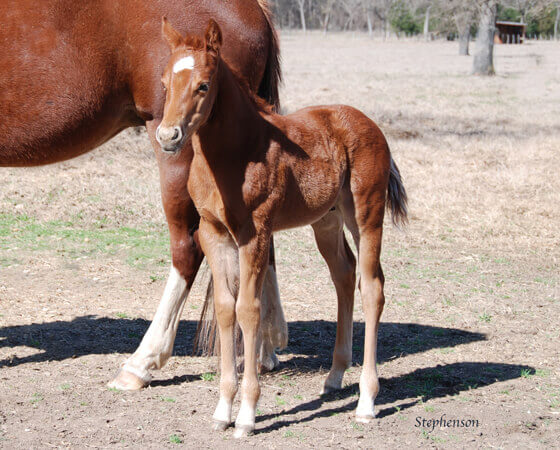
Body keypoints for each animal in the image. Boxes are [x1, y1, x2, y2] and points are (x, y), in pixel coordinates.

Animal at [160, 19, 410, 434]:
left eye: (203, 85)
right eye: (164, 81)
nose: (167, 136)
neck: (236, 153)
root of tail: (371, 125)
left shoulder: (255, 234)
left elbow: (248, 309)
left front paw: (247, 415)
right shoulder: (213, 233)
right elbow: (226, 309)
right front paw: (222, 411)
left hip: (366, 214)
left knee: (372, 286)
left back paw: (366, 401)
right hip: (327, 220)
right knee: (345, 275)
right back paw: (334, 376)